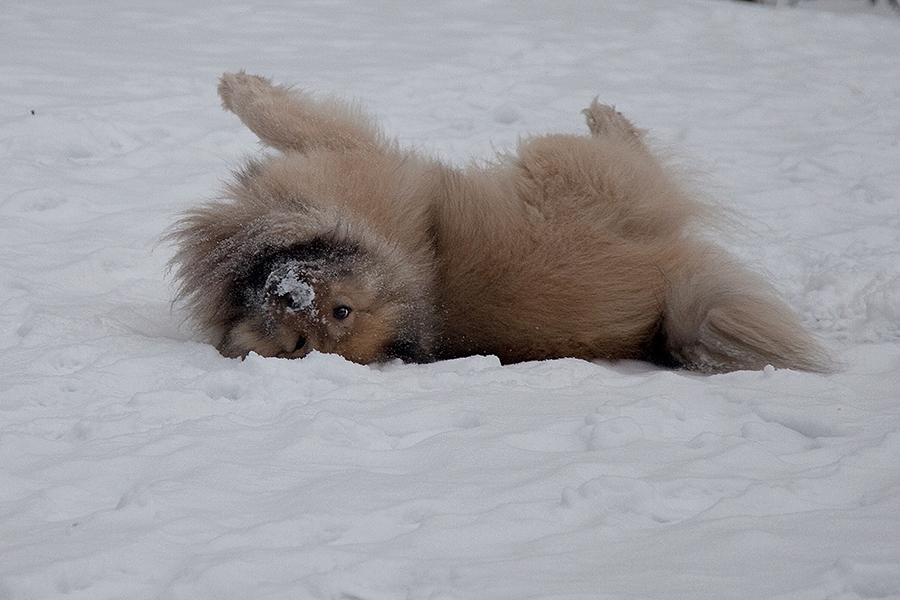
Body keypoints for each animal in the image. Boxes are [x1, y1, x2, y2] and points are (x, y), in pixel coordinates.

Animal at [165, 72, 832, 372]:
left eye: (341, 312)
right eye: (300, 344)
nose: (293, 296)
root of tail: (666, 302)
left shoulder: (349, 158)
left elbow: (283, 117)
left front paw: (237, 87)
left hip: (554, 160)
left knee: (625, 150)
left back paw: (604, 113)